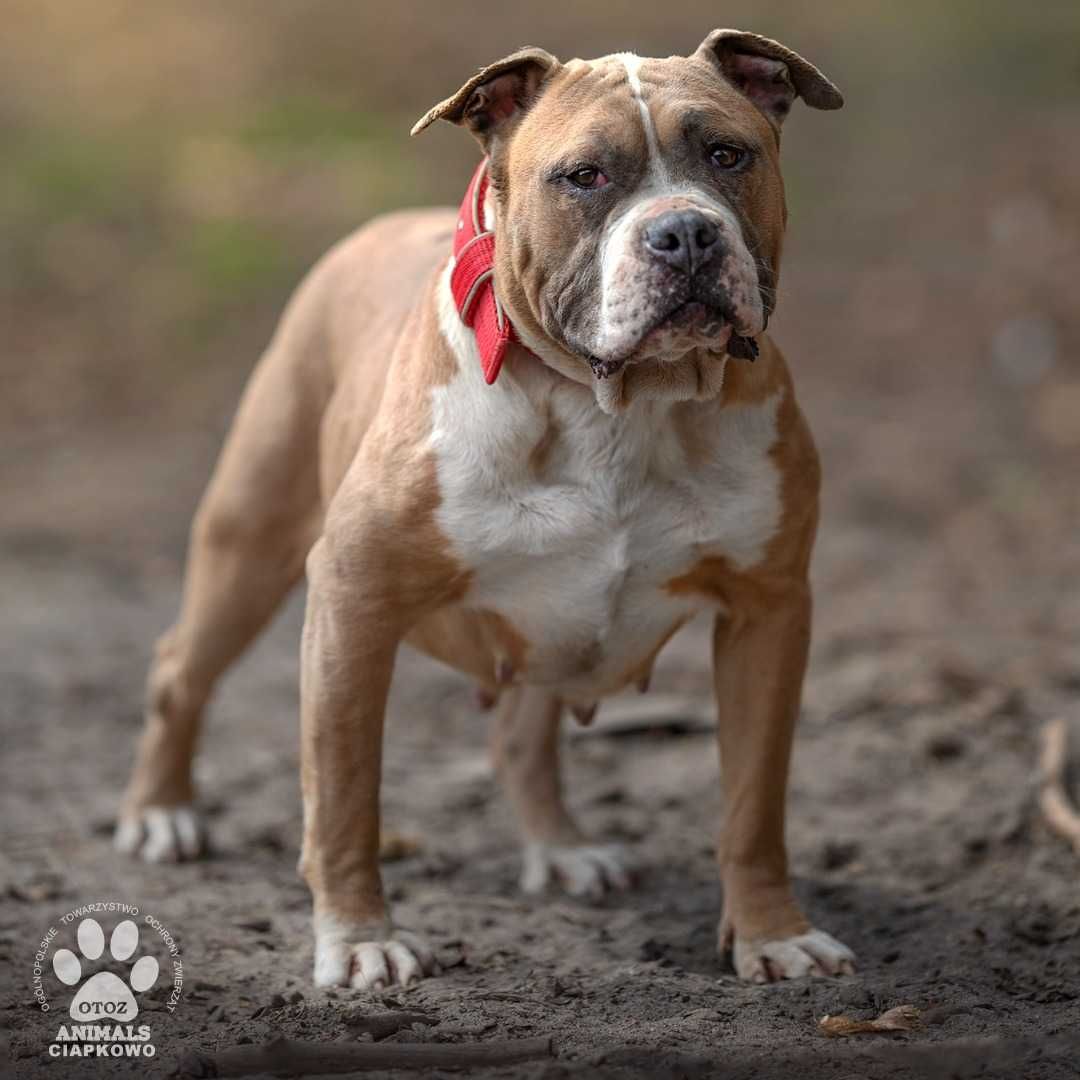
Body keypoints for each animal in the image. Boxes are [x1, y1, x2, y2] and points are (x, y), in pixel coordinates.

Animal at [116, 27, 851, 989]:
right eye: (585, 176)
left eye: (729, 155)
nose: (685, 231)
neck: (617, 405)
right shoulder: (353, 601)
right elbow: (345, 797)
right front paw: (358, 938)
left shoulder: (769, 610)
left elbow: (754, 805)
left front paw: (772, 932)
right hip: (249, 539)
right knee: (180, 667)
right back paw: (161, 812)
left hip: (548, 618)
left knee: (520, 737)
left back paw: (563, 849)